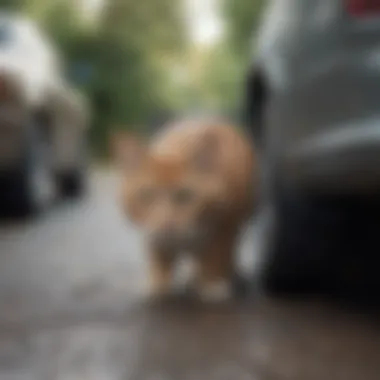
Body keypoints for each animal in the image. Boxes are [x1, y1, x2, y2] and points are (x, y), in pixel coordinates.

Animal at [111, 119, 256, 302]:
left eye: (185, 195)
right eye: (146, 195)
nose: (166, 225)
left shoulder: (225, 225)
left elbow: (216, 256)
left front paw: (212, 282)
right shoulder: (154, 234)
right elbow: (159, 254)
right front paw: (158, 283)